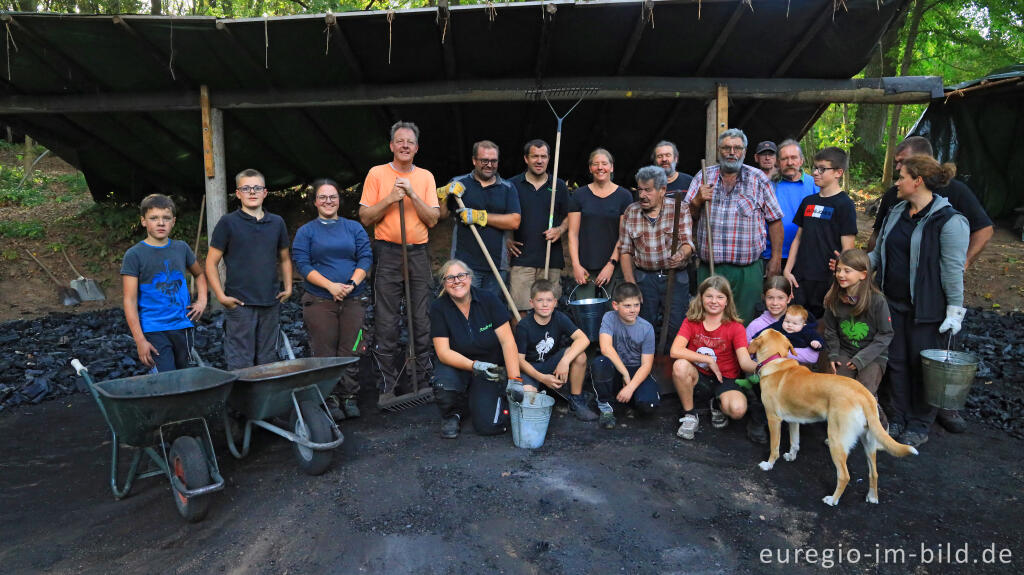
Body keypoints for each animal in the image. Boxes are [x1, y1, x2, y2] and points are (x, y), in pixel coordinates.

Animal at [745, 329, 921, 503]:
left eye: (758, 334)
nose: (750, 339)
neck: (776, 360)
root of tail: (864, 395)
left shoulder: (773, 419)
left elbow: (774, 447)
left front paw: (769, 464)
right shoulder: (794, 421)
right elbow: (795, 443)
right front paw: (791, 456)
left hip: (837, 440)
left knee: (844, 475)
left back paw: (832, 500)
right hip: (869, 442)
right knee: (874, 473)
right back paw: (872, 497)